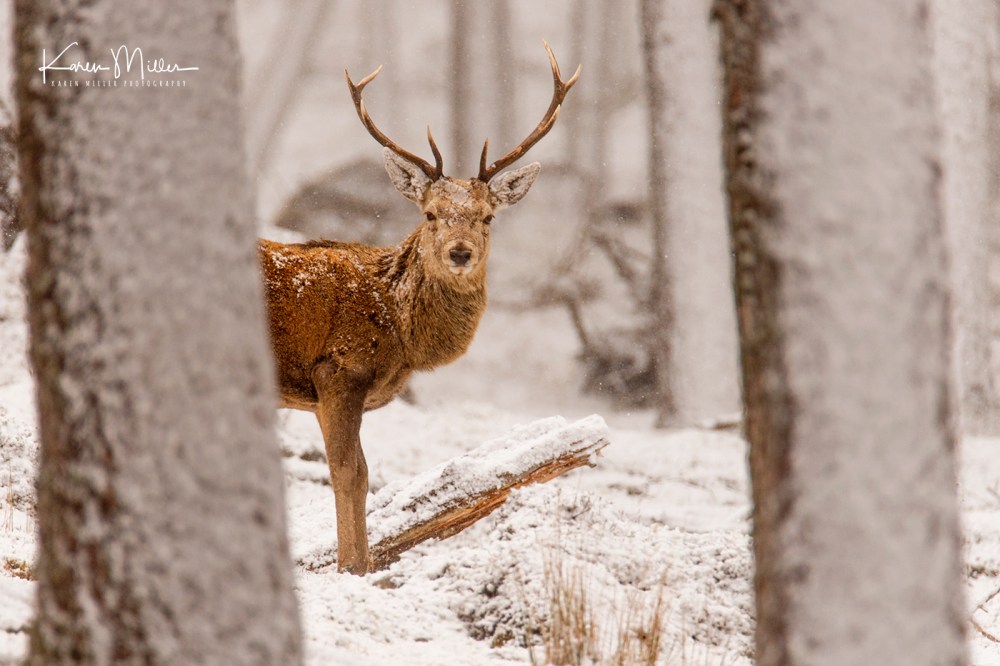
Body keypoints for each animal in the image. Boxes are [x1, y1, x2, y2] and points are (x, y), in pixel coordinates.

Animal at [258, 42, 579, 574]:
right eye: (430, 214)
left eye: (487, 217)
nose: (460, 252)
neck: (401, 334)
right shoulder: (337, 370)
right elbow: (350, 473)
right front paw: (353, 570)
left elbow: (364, 473)